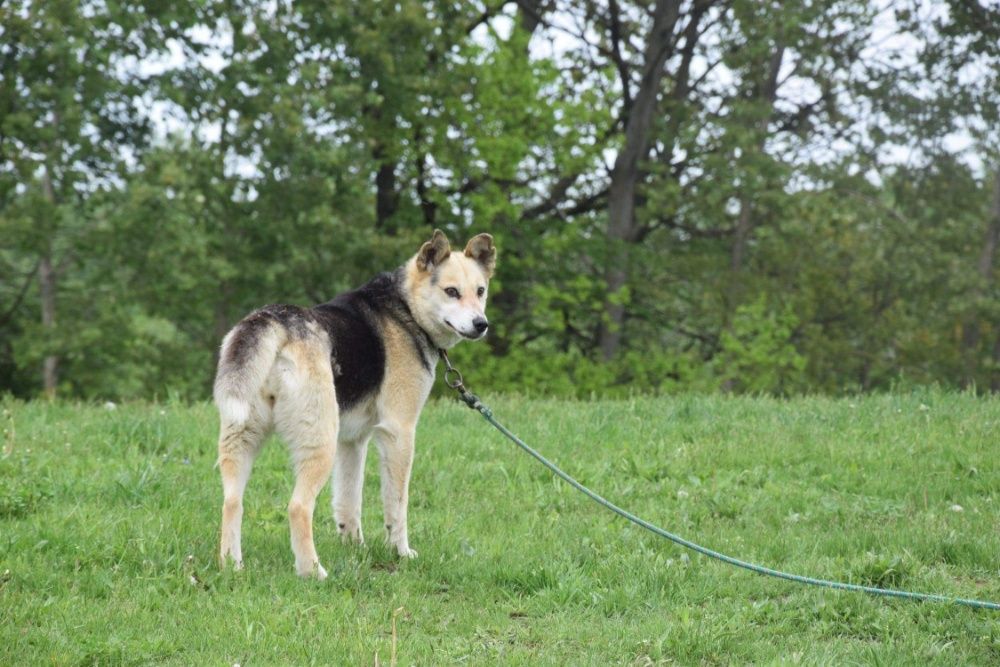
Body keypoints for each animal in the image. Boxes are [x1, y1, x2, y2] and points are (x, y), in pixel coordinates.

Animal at [213, 230, 494, 580]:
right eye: (451, 292)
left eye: (480, 291)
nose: (481, 324)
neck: (406, 309)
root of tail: (276, 321)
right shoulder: (398, 433)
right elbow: (397, 505)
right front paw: (401, 552)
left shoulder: (352, 442)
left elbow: (349, 500)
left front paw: (354, 548)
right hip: (320, 441)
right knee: (298, 507)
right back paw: (313, 572)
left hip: (243, 436)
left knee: (231, 501)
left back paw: (232, 566)